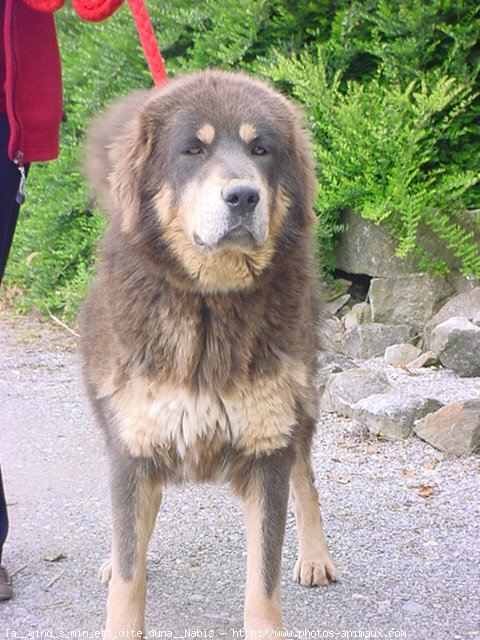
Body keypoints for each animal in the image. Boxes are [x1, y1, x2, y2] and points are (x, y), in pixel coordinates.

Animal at [79, 71, 342, 636]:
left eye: (261, 149)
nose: (243, 196)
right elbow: (128, 580)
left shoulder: (269, 449)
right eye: (193, 150)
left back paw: (315, 556)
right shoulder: (132, 446)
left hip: (301, 410)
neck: (209, 304)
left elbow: (263, 585)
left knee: (306, 480)